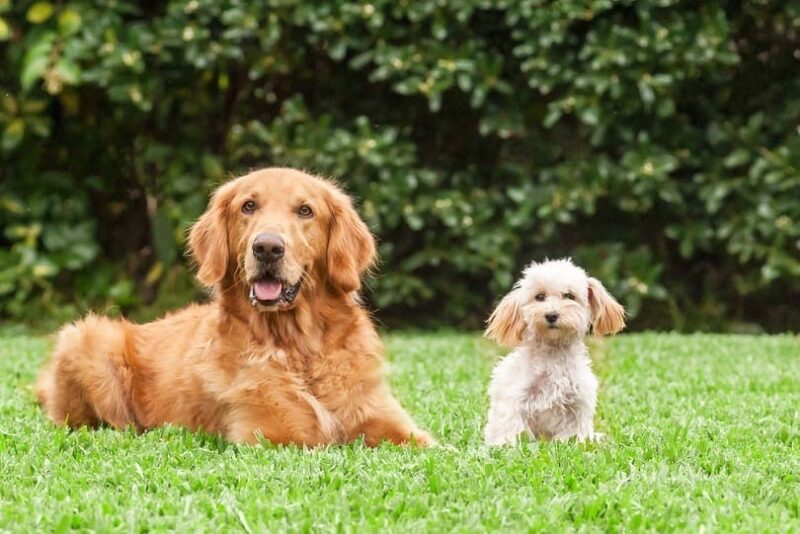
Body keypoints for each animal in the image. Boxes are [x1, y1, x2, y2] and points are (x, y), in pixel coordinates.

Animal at [482, 260, 624, 448]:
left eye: (569, 296)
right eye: (540, 297)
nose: (551, 315)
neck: (553, 352)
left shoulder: (577, 405)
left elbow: (572, 435)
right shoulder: (514, 401)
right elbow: (513, 429)